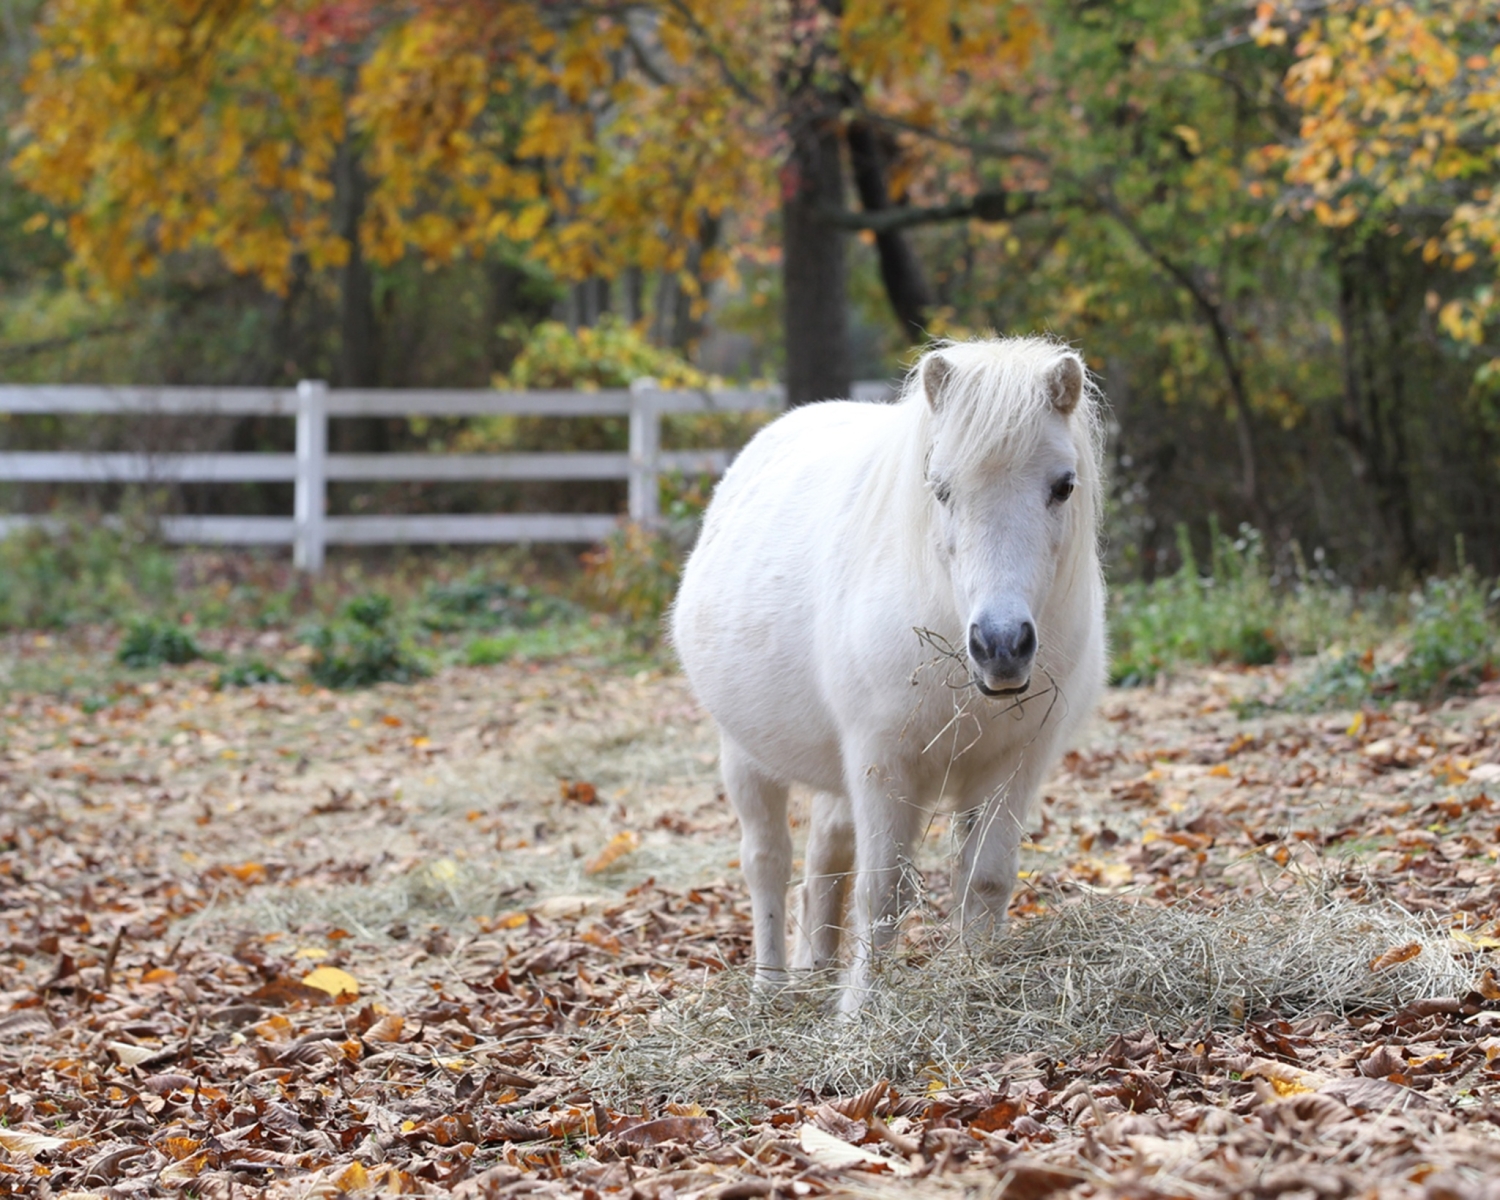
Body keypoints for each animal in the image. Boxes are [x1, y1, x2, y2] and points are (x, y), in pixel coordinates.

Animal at [675, 337, 1110, 1014]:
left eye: (1064, 486)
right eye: (941, 489)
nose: (1001, 645)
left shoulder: (1012, 764)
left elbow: (984, 880)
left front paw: (972, 982)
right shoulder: (884, 763)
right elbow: (882, 893)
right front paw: (858, 1015)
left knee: (824, 857)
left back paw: (815, 969)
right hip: (745, 757)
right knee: (768, 861)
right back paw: (772, 990)